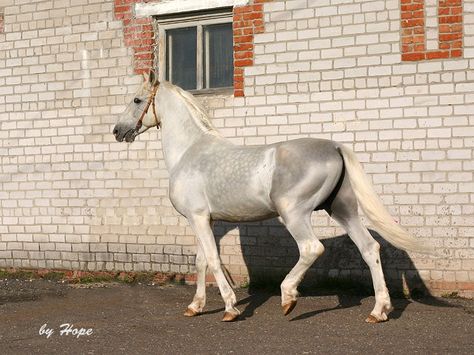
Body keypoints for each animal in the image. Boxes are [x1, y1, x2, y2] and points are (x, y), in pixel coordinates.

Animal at [115, 71, 430, 324]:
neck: (190, 151)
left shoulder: (198, 218)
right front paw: (195, 307)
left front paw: (230, 309)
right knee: (369, 249)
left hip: (295, 214)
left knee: (312, 248)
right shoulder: (205, 219)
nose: (118, 131)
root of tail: (335, 147)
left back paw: (288, 298)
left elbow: (213, 260)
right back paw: (379, 312)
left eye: (136, 99)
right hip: (342, 210)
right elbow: (201, 261)